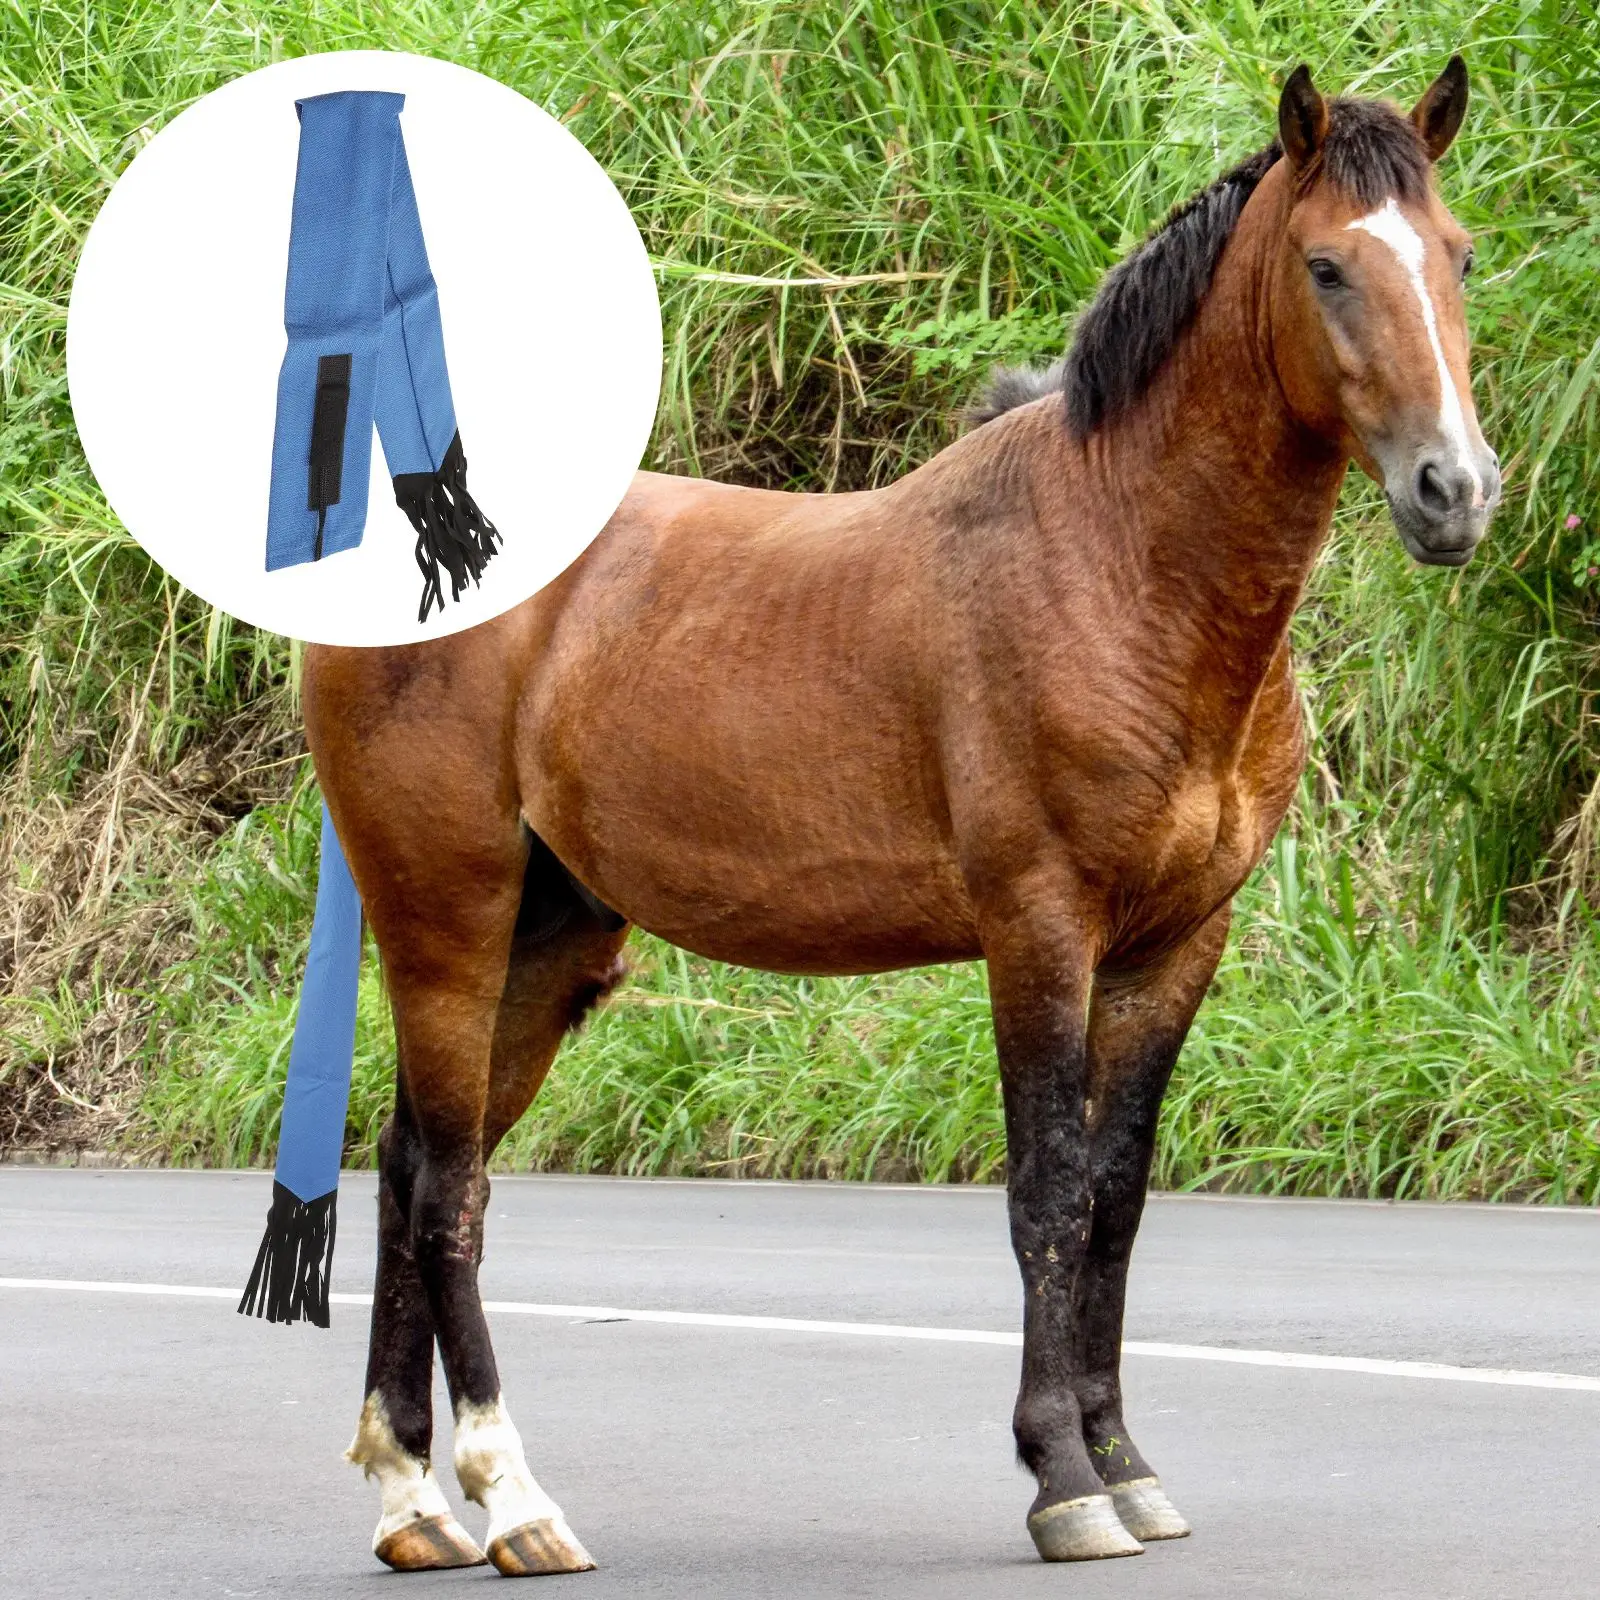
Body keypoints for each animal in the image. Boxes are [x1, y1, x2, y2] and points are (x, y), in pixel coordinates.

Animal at [304, 58, 1498, 1573]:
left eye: (1457, 255)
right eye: (1327, 265)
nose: (1454, 491)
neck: (1120, 563)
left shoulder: (1177, 945)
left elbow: (1114, 1199)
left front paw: (1126, 1464)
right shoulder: (1040, 929)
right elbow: (1046, 1190)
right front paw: (1062, 1480)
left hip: (546, 940)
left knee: (408, 1169)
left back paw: (413, 1502)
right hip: (447, 923)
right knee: (449, 1190)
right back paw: (513, 1498)